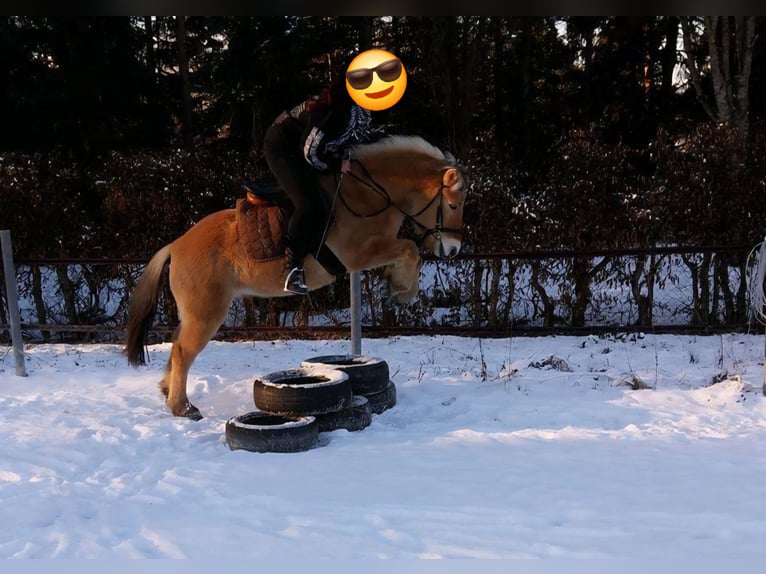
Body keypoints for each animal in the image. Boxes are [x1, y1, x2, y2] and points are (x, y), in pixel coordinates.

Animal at [124, 135, 467, 420]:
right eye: (453, 204)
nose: (452, 250)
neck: (368, 195)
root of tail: (176, 245)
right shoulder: (358, 254)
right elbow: (411, 249)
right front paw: (401, 290)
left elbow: (408, 252)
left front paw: (394, 285)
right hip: (205, 313)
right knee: (183, 352)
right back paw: (182, 407)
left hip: (195, 313)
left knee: (176, 347)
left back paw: (168, 391)